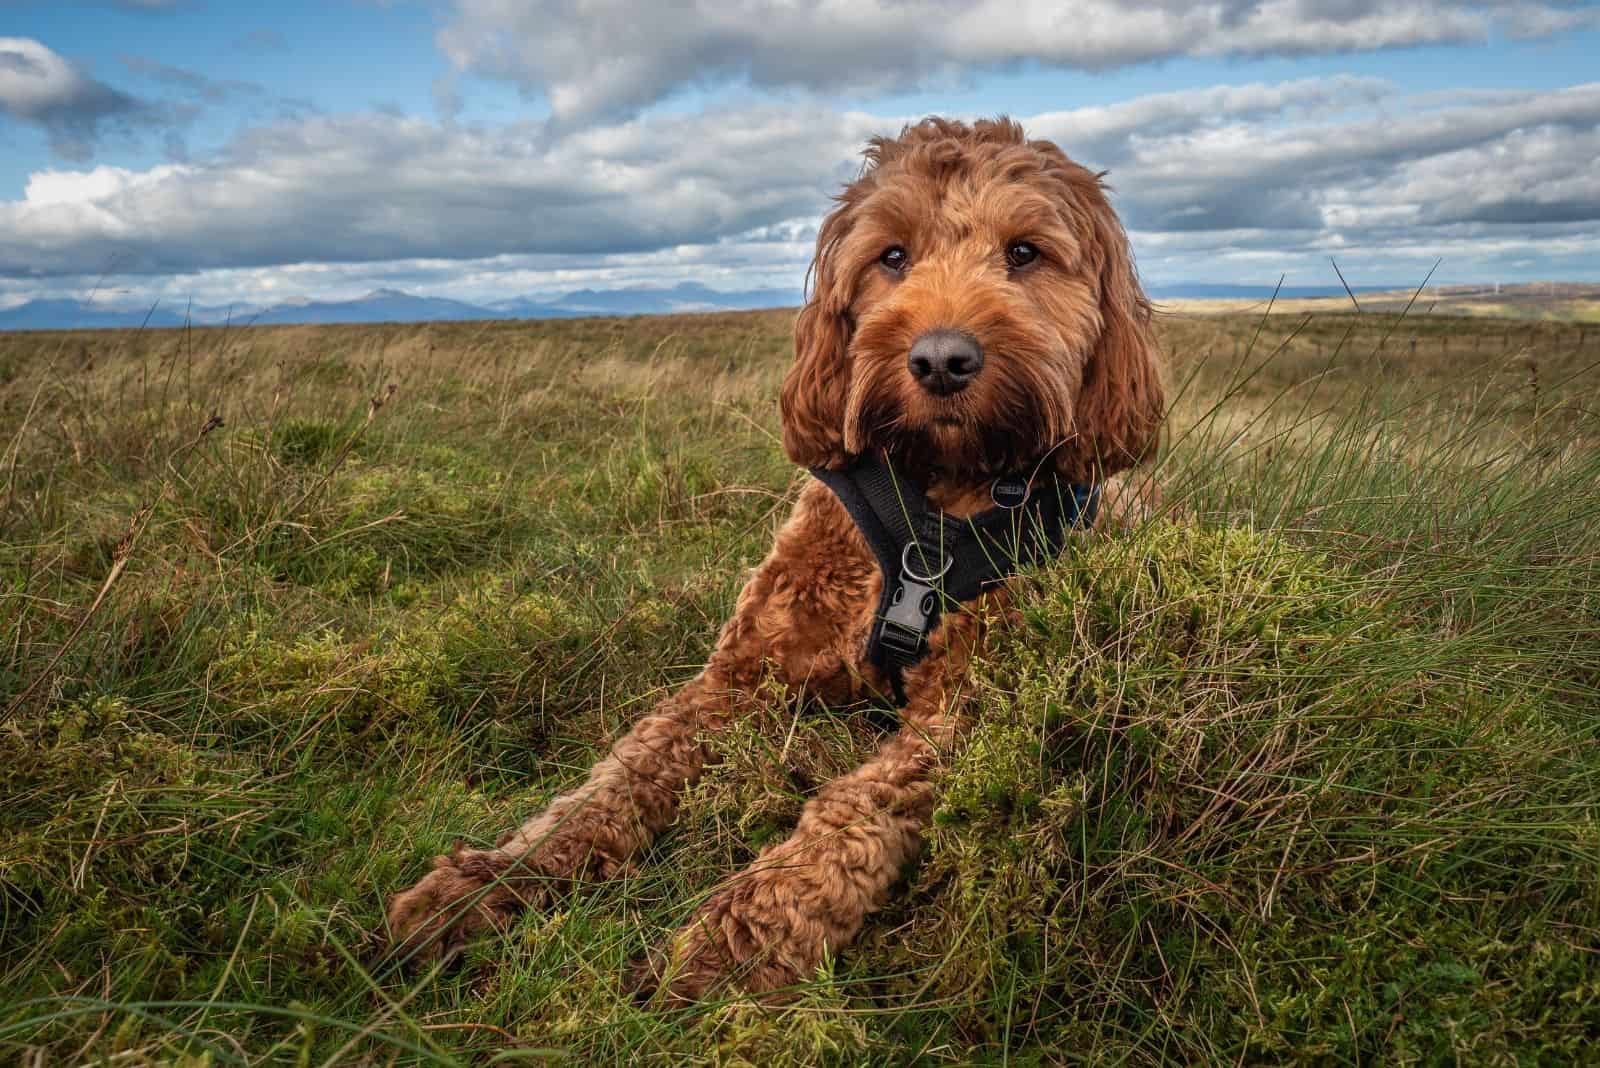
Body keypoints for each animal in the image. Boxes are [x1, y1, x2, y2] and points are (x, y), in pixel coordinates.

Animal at [387, 115, 1164, 1004]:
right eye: (891, 255)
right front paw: (488, 881)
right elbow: (611, 784)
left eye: (1026, 252)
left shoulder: (966, 707)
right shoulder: (740, 676)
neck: (930, 503)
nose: (941, 360)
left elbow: (850, 815)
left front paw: (732, 943)